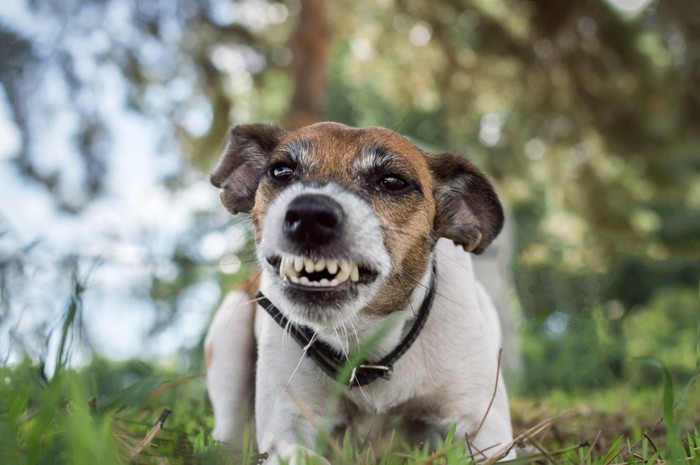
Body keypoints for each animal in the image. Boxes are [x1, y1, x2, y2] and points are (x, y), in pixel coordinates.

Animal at [202, 121, 516, 462]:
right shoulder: (287, 422)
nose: (310, 213)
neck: (366, 343)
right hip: (229, 344)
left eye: (393, 181)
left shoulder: (483, 423)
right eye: (281, 170)